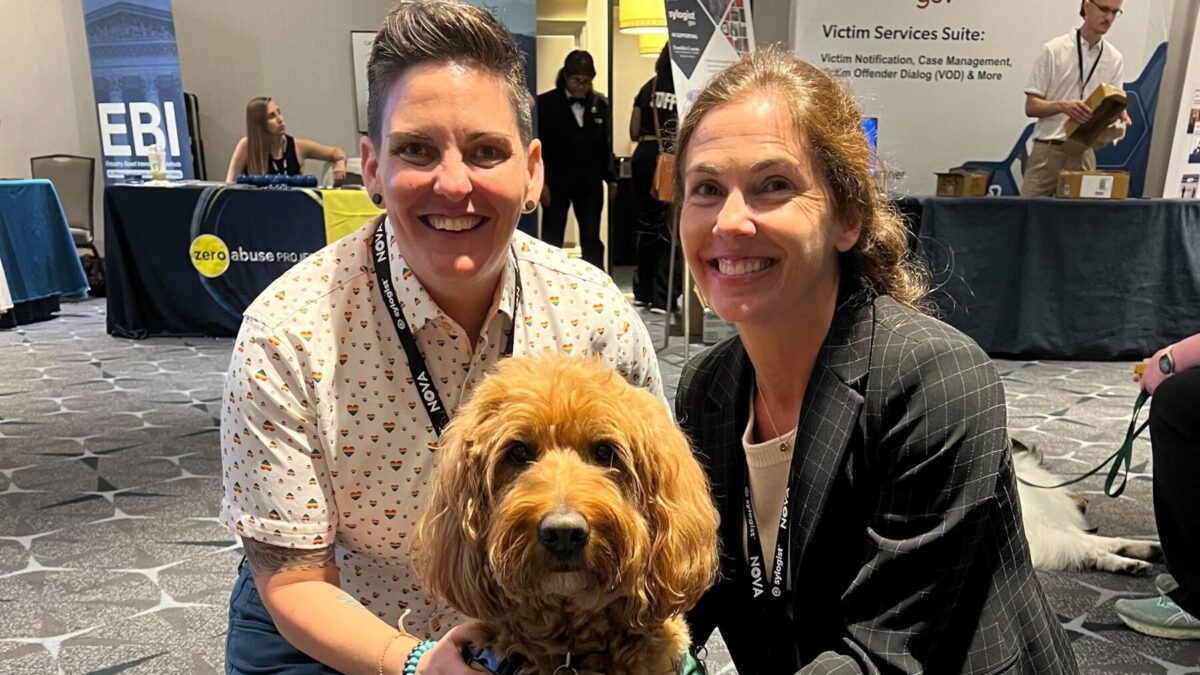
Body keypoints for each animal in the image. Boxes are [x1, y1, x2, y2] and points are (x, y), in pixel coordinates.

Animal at [1012, 437, 1161, 571]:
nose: (1087, 500)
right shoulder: (1038, 538)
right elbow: (1087, 547)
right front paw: (1128, 563)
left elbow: (1106, 541)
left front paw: (1152, 547)